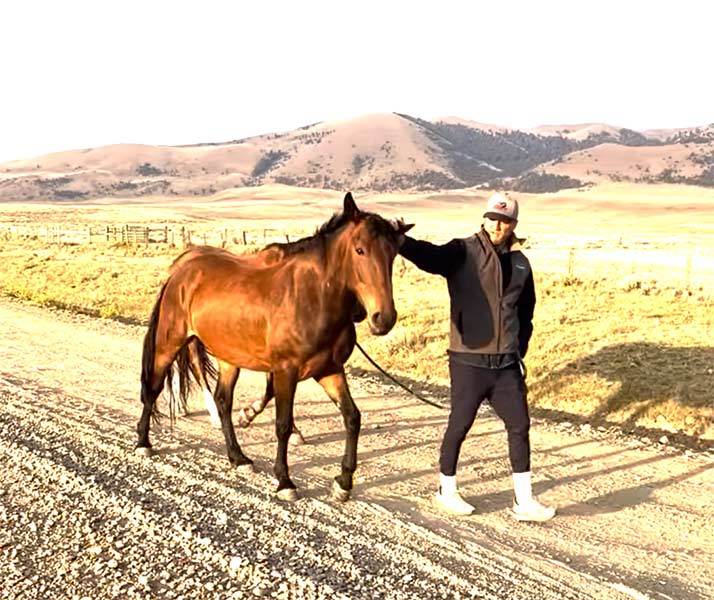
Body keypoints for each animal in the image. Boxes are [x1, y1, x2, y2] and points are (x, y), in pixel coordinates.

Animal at [136, 192, 413, 501]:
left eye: (393, 254)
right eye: (360, 250)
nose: (383, 318)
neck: (312, 297)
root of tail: (181, 272)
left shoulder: (329, 370)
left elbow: (352, 417)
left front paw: (343, 482)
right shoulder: (285, 371)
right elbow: (282, 424)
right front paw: (285, 481)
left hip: (228, 357)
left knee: (223, 401)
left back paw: (238, 457)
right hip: (169, 344)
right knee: (153, 388)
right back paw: (143, 442)